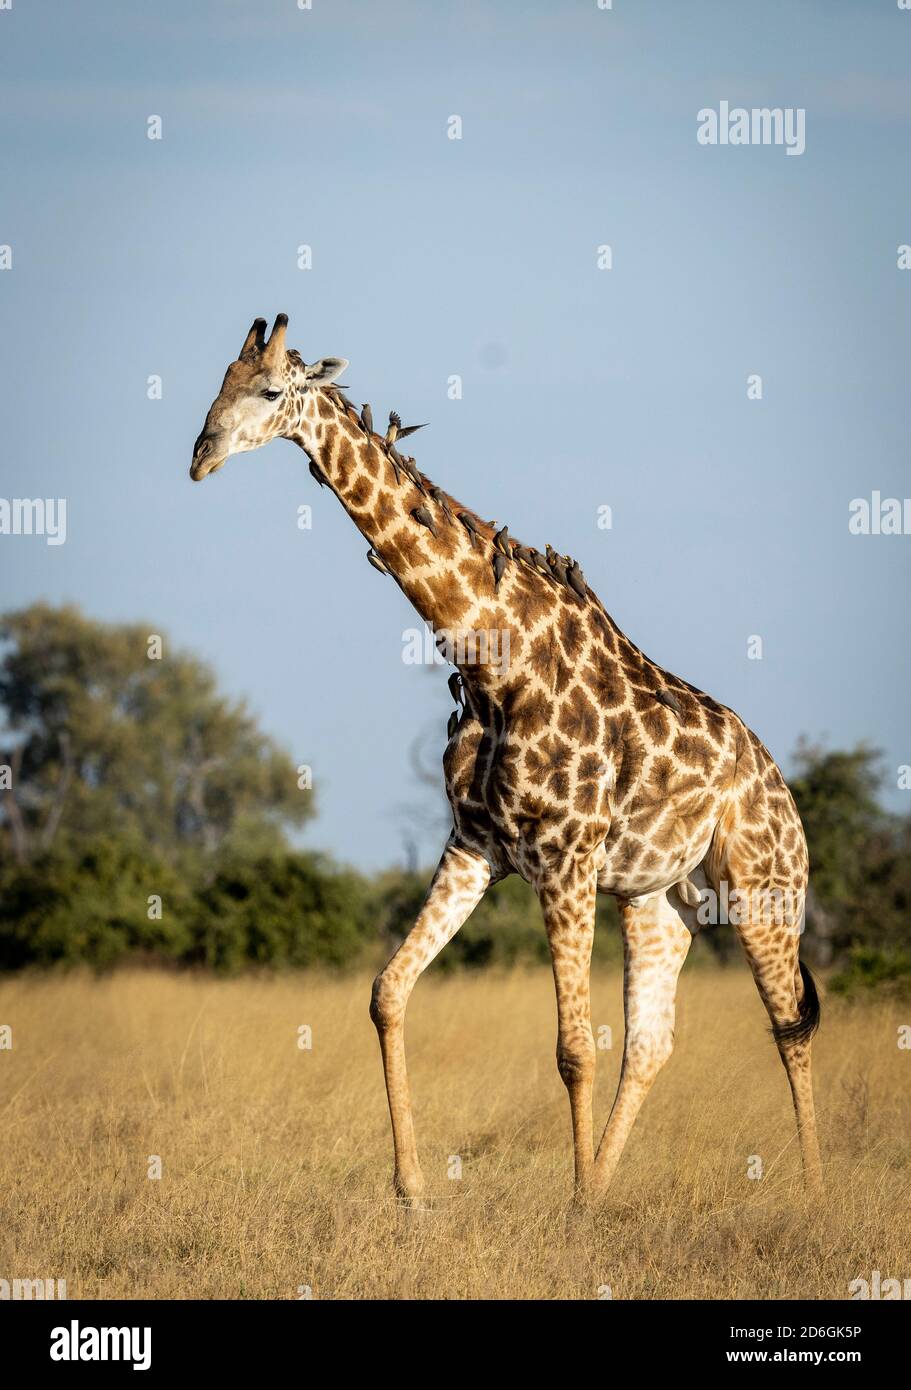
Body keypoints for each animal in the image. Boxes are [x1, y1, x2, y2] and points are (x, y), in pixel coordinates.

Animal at [189, 315, 823, 1206]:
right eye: (217, 381)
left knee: (786, 1026)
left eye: (271, 388)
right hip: (657, 896)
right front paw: (415, 1192)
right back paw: (606, 1186)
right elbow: (387, 993)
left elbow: (571, 1048)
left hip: (763, 886)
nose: (200, 455)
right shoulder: (475, 846)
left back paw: (812, 1197)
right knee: (652, 1041)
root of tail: (778, 788)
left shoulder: (563, 859)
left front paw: (569, 1214)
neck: (492, 658)